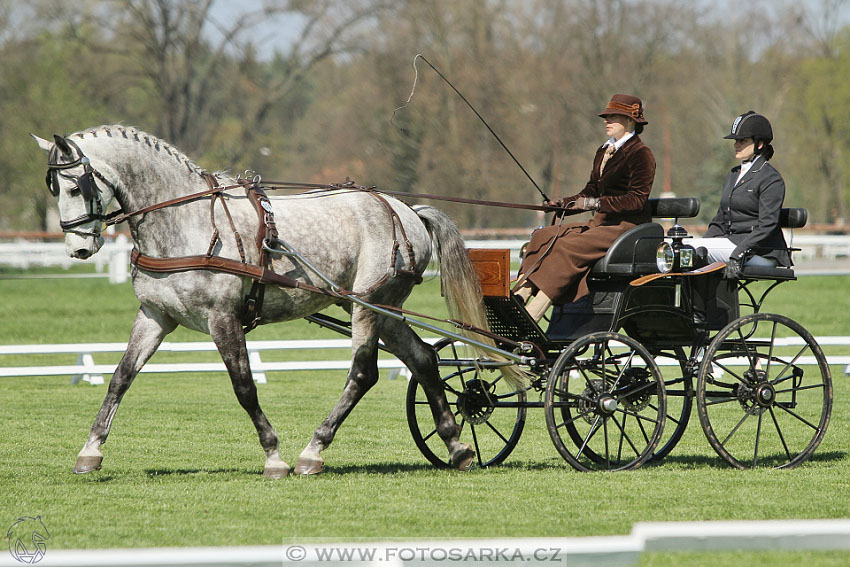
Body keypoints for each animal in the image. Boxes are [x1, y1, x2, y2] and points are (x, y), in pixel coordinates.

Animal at [33, 125, 516, 480]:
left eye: (75, 185)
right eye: (54, 187)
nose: (78, 249)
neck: (184, 219)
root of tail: (406, 210)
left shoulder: (222, 319)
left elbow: (244, 387)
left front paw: (273, 456)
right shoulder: (155, 316)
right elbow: (121, 378)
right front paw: (90, 451)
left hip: (367, 304)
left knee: (363, 373)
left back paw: (313, 451)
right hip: (383, 309)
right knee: (423, 359)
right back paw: (456, 446)